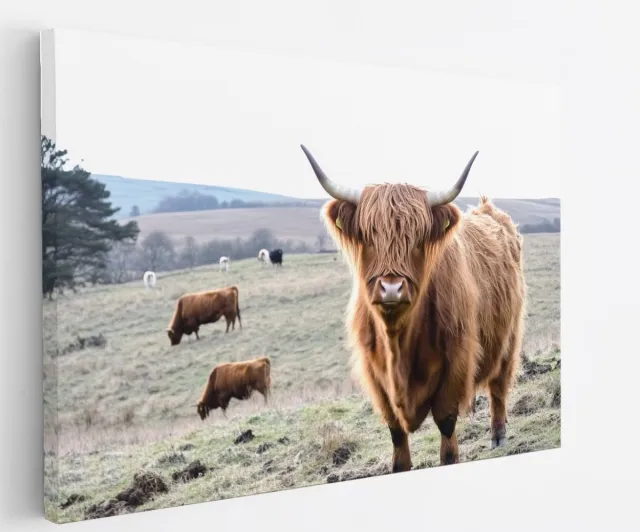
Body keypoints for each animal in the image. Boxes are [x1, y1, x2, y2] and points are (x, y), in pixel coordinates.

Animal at [300, 145, 526, 472]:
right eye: (369, 235)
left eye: (417, 238)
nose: (391, 288)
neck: (398, 341)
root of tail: (489, 211)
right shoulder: (376, 377)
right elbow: (396, 435)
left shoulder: (456, 361)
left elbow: (446, 425)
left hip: (509, 337)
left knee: (499, 385)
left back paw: (498, 435)